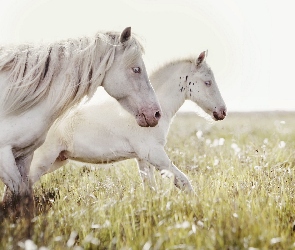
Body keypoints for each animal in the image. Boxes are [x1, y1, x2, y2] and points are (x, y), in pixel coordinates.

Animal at [0, 26, 162, 215]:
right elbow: (19, 196)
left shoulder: (24, 156)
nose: (156, 113)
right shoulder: (5, 156)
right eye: (136, 69)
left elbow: (23, 197)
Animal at [30, 51, 228, 193]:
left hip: (57, 160)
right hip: (42, 160)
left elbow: (151, 188)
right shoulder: (154, 153)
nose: (222, 112)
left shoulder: (143, 158)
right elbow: (183, 181)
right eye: (208, 82)